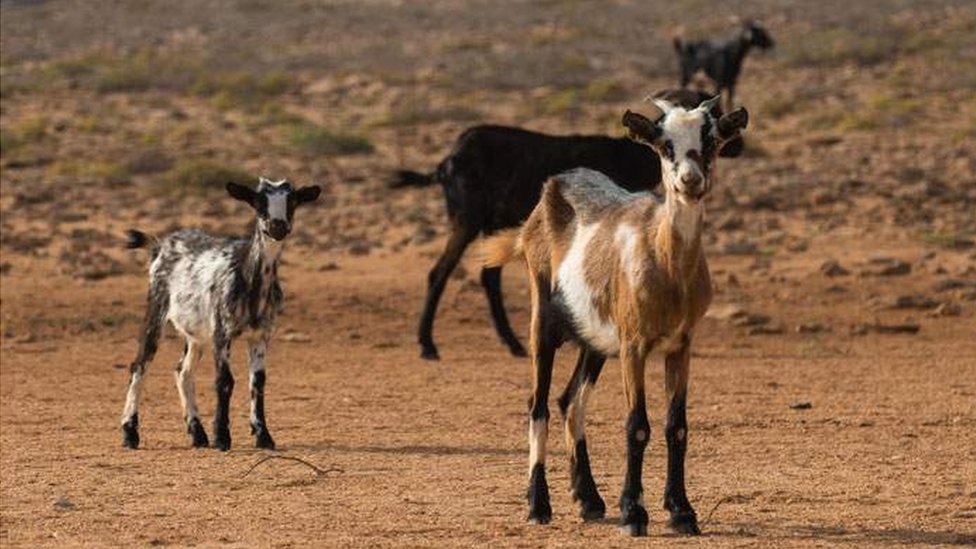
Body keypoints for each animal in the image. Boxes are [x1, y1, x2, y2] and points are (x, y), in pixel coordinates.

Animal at [120, 178, 321, 451]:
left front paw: (263, 436)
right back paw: (130, 433)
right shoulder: (222, 332)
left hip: (195, 334)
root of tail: (160, 246)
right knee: (139, 365)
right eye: (259, 202)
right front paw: (222, 437)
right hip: (156, 309)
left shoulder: (260, 335)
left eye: (292, 201)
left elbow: (258, 381)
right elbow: (225, 381)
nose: (277, 226)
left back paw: (197, 433)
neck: (248, 278)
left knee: (183, 371)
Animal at [390, 89, 742, 361]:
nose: (738, 145)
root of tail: (445, 162)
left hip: (493, 225)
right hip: (466, 219)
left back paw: (514, 344)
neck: (628, 154)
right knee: (440, 272)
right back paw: (428, 346)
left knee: (488, 277)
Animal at [482, 95, 748, 536]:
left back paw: (589, 500)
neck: (666, 264)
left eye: (710, 140)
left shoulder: (680, 345)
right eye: (665, 144)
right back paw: (539, 505)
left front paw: (682, 512)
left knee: (570, 401)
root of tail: (554, 187)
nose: (690, 181)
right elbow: (637, 425)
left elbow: (677, 426)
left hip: (595, 340)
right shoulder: (634, 345)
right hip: (544, 321)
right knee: (538, 404)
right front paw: (633, 513)